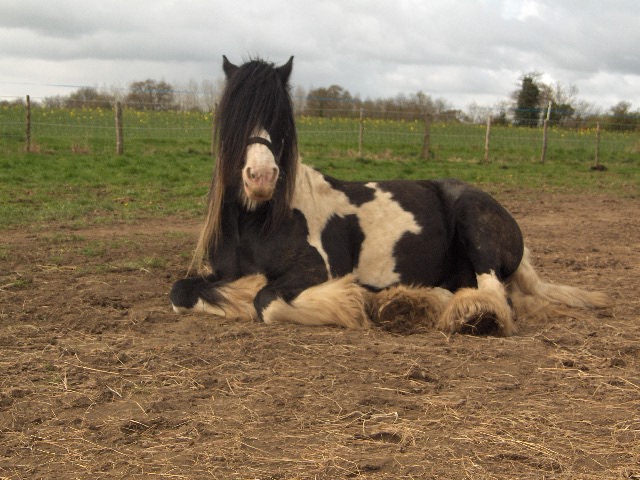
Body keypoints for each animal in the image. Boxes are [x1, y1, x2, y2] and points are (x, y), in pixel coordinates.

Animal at [168, 56, 608, 336]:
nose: (261, 177)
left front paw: (348, 302)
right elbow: (181, 293)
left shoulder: (314, 271)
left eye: (281, 118)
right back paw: (408, 302)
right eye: (233, 116)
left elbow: (266, 302)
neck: (258, 220)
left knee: (494, 295)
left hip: (473, 221)